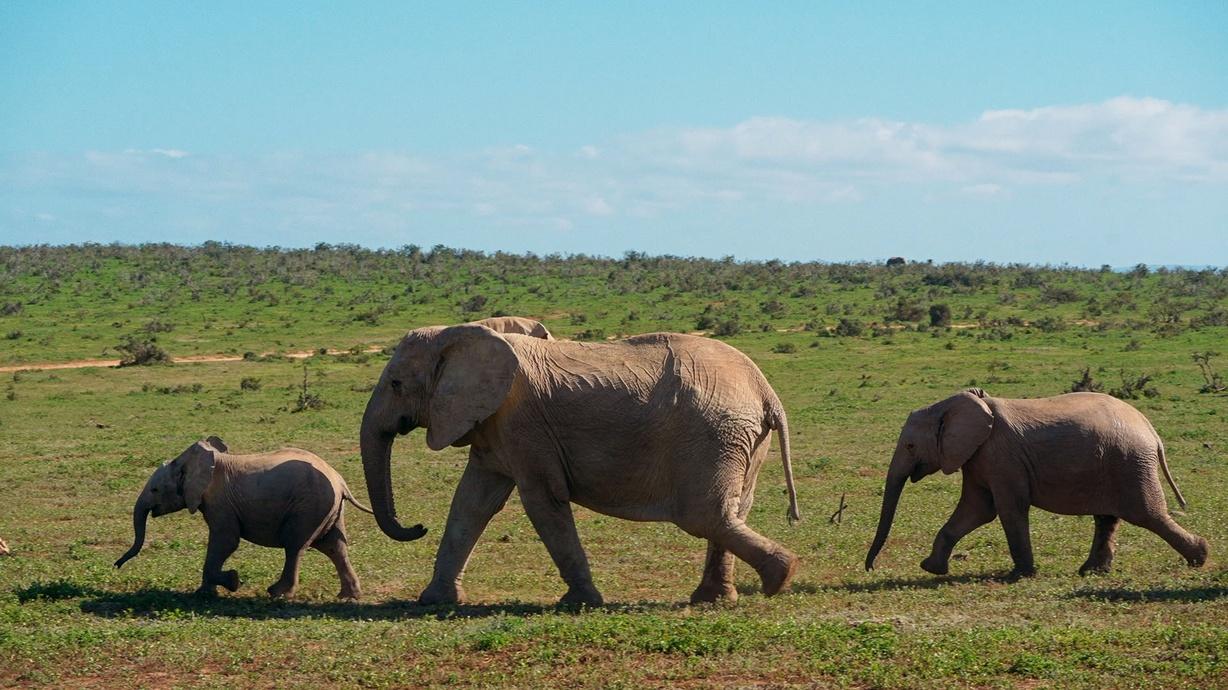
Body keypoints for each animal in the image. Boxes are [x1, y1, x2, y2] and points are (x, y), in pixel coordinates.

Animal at [116, 437, 427, 594]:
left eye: (155, 489)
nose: (117, 566)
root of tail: (341, 482)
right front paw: (205, 596)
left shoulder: (220, 504)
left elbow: (225, 541)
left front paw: (232, 582)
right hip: (328, 510)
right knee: (335, 546)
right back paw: (349, 596)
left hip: (309, 506)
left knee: (296, 545)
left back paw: (277, 593)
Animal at [358, 321, 800, 601]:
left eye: (396, 384)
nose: (417, 526)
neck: (461, 334)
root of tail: (766, 391)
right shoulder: (494, 427)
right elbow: (472, 503)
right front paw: (433, 601)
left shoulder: (523, 424)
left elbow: (542, 501)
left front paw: (581, 601)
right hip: (740, 438)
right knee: (731, 510)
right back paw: (717, 598)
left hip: (714, 432)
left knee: (703, 514)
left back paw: (779, 578)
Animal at [864, 387, 1208, 574]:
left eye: (910, 446)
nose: (870, 568)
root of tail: (1151, 430)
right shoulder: (978, 457)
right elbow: (976, 510)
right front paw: (930, 568)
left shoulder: (1001, 457)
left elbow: (1007, 509)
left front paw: (1021, 574)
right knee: (1108, 518)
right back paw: (1091, 572)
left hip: (1129, 462)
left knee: (1147, 514)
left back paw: (1200, 557)